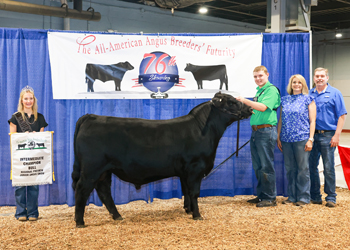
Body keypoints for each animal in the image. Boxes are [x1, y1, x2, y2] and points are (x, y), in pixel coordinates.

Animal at [72, 91, 252, 227]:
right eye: (231, 102)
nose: (250, 108)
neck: (204, 129)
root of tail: (91, 116)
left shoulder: (184, 172)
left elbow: (186, 191)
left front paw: (188, 210)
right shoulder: (195, 168)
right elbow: (194, 192)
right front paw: (197, 215)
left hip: (105, 170)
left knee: (104, 191)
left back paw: (117, 216)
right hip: (92, 168)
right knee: (82, 189)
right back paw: (80, 222)